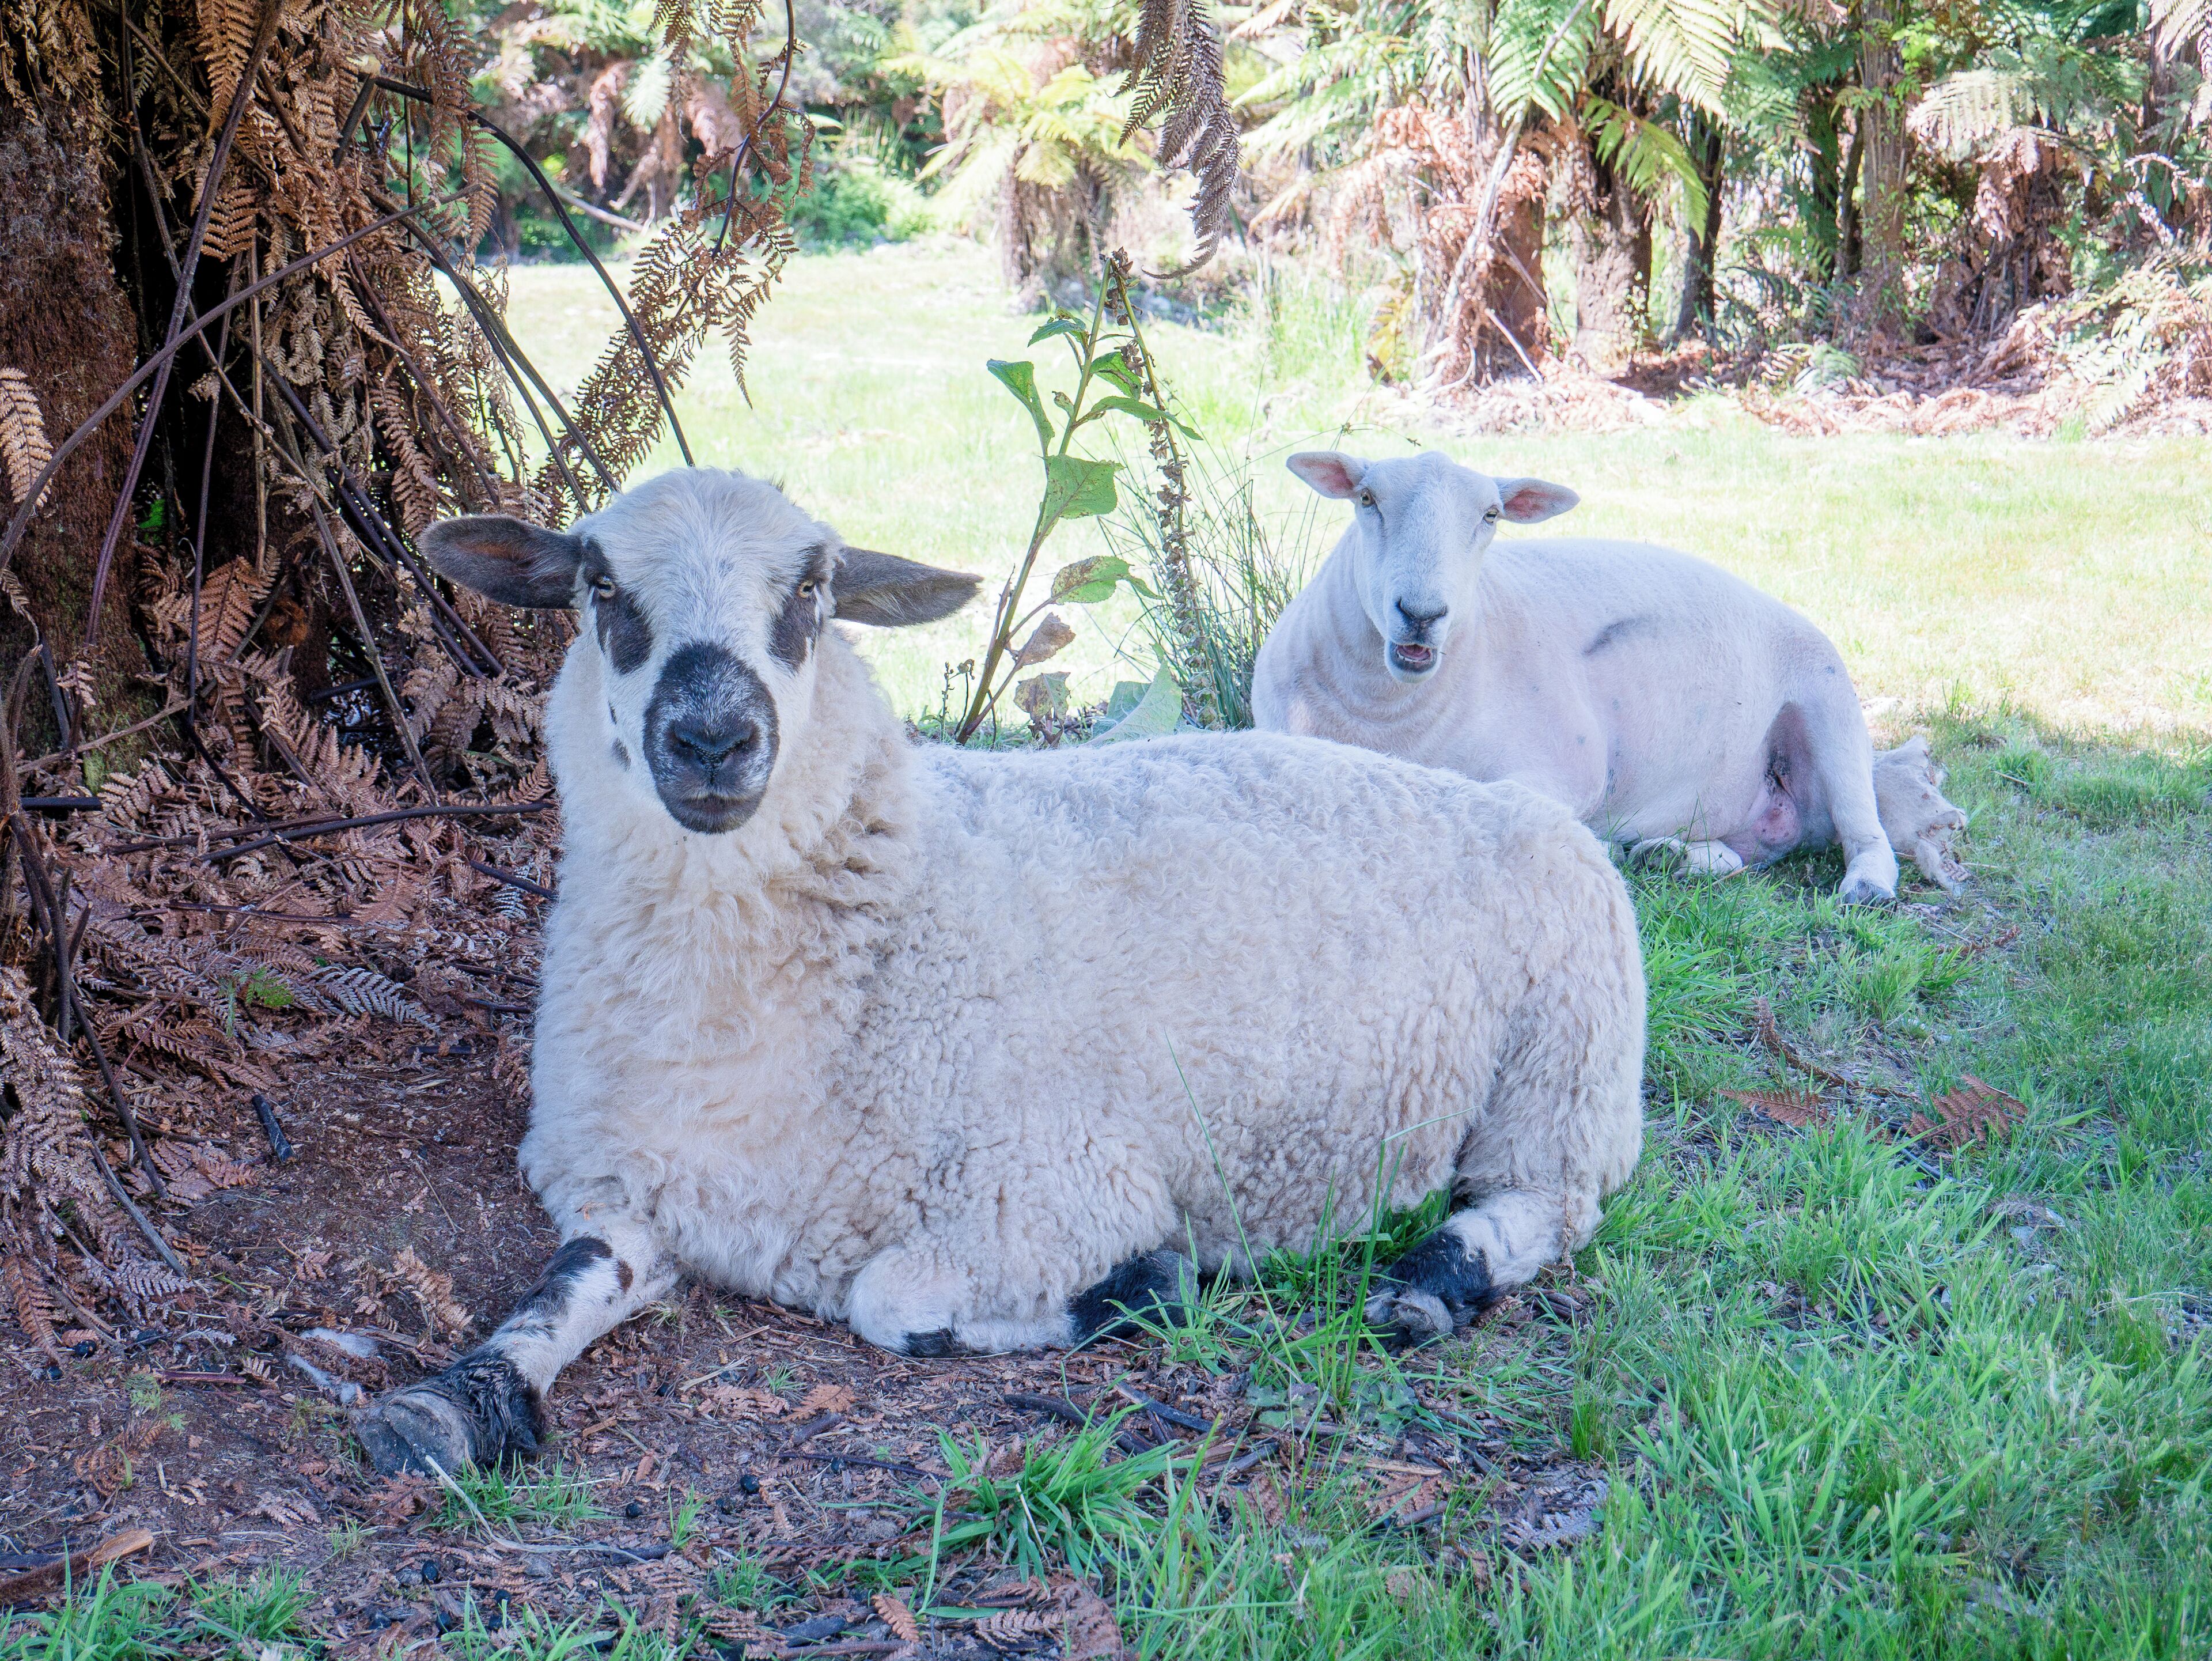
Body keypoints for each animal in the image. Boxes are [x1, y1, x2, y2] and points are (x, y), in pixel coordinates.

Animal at [355, 467, 1648, 1477]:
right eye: (602, 586)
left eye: (815, 591)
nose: (715, 739)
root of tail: (1498, 793)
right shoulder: (628, 1178)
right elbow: (568, 1280)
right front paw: (452, 1403)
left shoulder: (1053, 1188)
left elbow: (892, 1303)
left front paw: (1140, 1285)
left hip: (1564, 1073)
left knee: (1543, 1202)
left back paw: (1430, 1281)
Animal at [1251, 450, 1968, 903]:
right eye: (1367, 499)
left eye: (1490, 515)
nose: (1421, 614)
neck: (1393, 714)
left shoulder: (1562, 769)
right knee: (1745, 854)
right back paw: (1673, 855)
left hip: (1829, 699)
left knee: (1865, 828)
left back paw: (1866, 886)